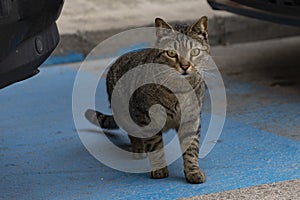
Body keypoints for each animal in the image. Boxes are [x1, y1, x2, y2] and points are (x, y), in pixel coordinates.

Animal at [85, 16, 210, 184]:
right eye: (171, 53)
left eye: (195, 52)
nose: (185, 66)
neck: (179, 89)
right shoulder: (147, 118)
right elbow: (155, 146)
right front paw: (159, 169)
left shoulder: (191, 119)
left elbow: (191, 148)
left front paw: (193, 170)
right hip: (126, 114)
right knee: (133, 133)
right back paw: (139, 149)